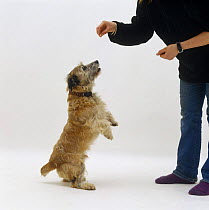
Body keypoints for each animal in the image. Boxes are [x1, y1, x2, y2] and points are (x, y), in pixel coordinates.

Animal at [40, 60, 118, 189]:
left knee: (69, 179)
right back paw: (87, 185)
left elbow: (107, 114)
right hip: (79, 164)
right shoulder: (92, 120)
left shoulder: (101, 110)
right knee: (75, 183)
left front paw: (114, 122)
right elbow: (102, 122)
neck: (81, 94)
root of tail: (53, 162)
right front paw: (109, 134)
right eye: (84, 67)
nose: (97, 60)